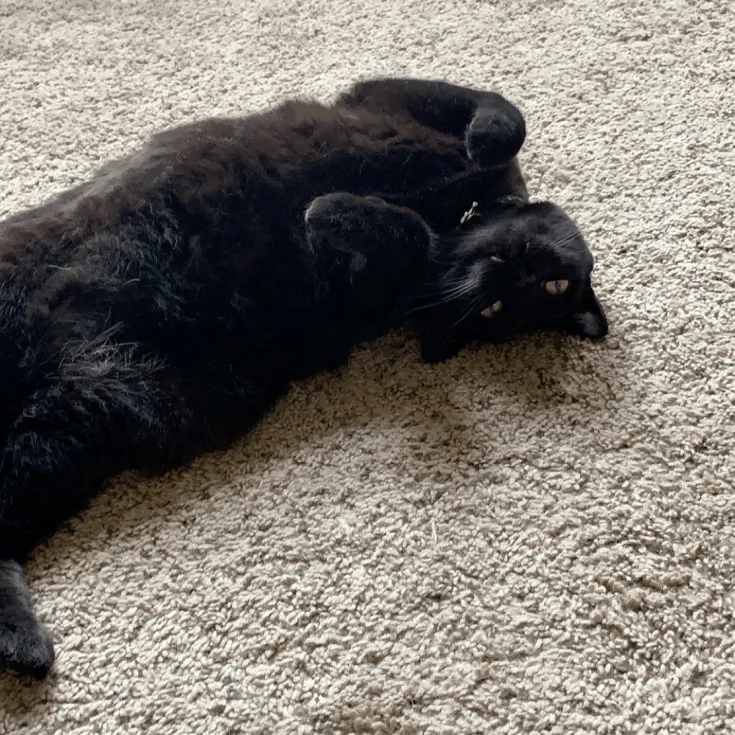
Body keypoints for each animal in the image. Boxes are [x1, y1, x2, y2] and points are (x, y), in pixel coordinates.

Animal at [0, 76, 608, 680]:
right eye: (552, 285)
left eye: (501, 309)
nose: (514, 276)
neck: (453, 217)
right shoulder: (381, 96)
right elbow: (505, 114)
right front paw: (478, 145)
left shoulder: (362, 286)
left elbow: (407, 236)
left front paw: (335, 210)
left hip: (75, 433)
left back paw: (19, 644)